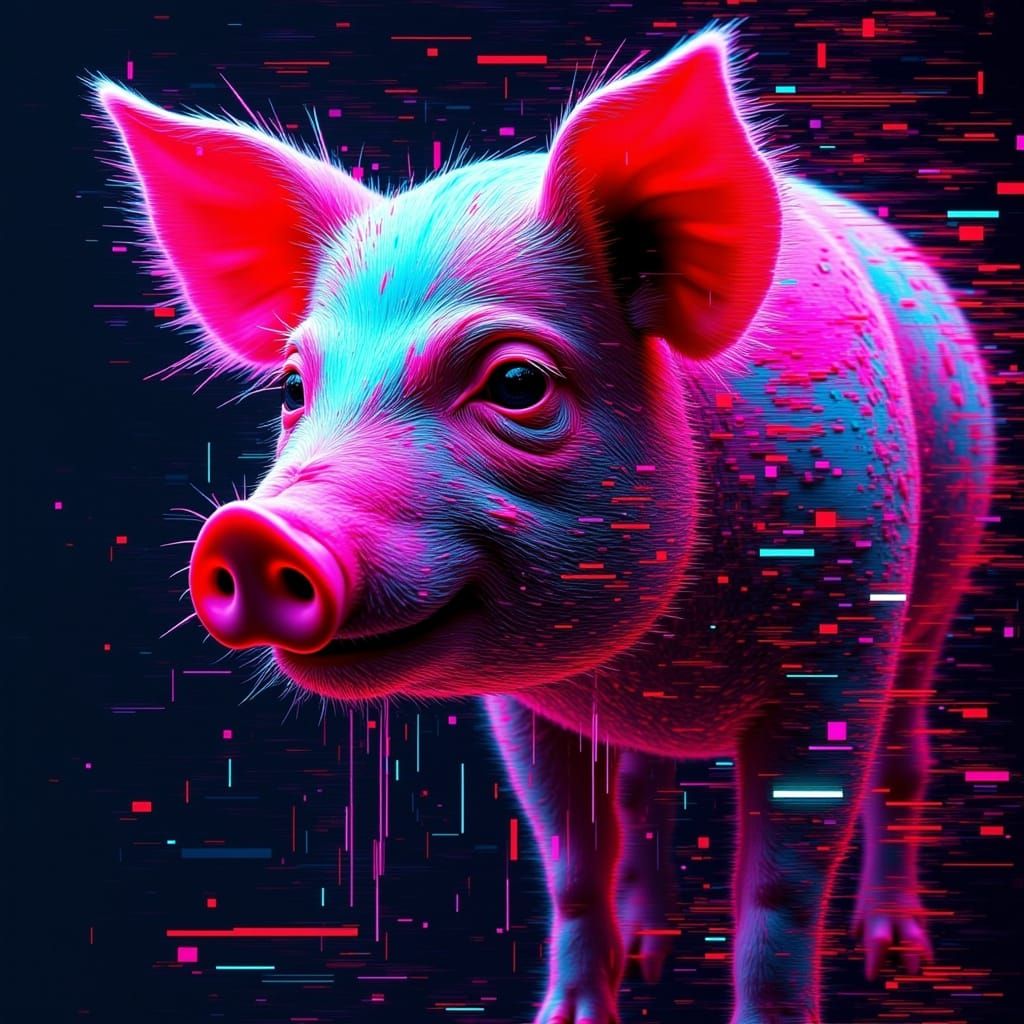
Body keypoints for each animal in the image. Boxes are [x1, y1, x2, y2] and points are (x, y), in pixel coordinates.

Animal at [95, 26, 994, 1024]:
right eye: (295, 386)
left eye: (519, 383)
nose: (252, 533)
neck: (669, 650)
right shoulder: (526, 706)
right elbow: (569, 857)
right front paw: (572, 1013)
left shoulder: (837, 656)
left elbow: (780, 893)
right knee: (639, 789)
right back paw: (649, 954)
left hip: (937, 583)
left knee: (904, 758)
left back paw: (896, 956)